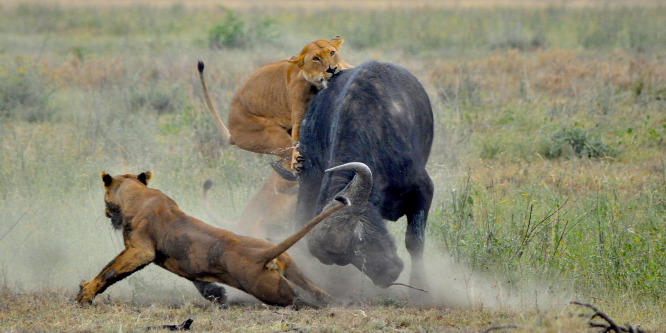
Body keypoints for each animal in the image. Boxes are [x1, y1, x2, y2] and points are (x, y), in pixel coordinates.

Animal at [77, 170, 348, 304]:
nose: (105, 212)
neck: (137, 194)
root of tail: (263, 254)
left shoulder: (140, 250)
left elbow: (110, 270)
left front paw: (85, 294)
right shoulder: (178, 261)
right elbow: (197, 278)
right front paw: (217, 295)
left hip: (272, 290)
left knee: (299, 299)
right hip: (291, 267)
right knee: (315, 289)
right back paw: (333, 300)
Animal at [198, 35, 350, 172]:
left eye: (332, 53)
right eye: (316, 58)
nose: (332, 69)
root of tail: (231, 129)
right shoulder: (299, 116)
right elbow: (298, 138)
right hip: (269, 134)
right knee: (288, 152)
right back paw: (295, 165)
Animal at [294, 59, 434, 290]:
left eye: (358, 240)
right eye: (346, 260)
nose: (388, 276)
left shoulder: (423, 190)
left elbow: (415, 242)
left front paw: (420, 288)